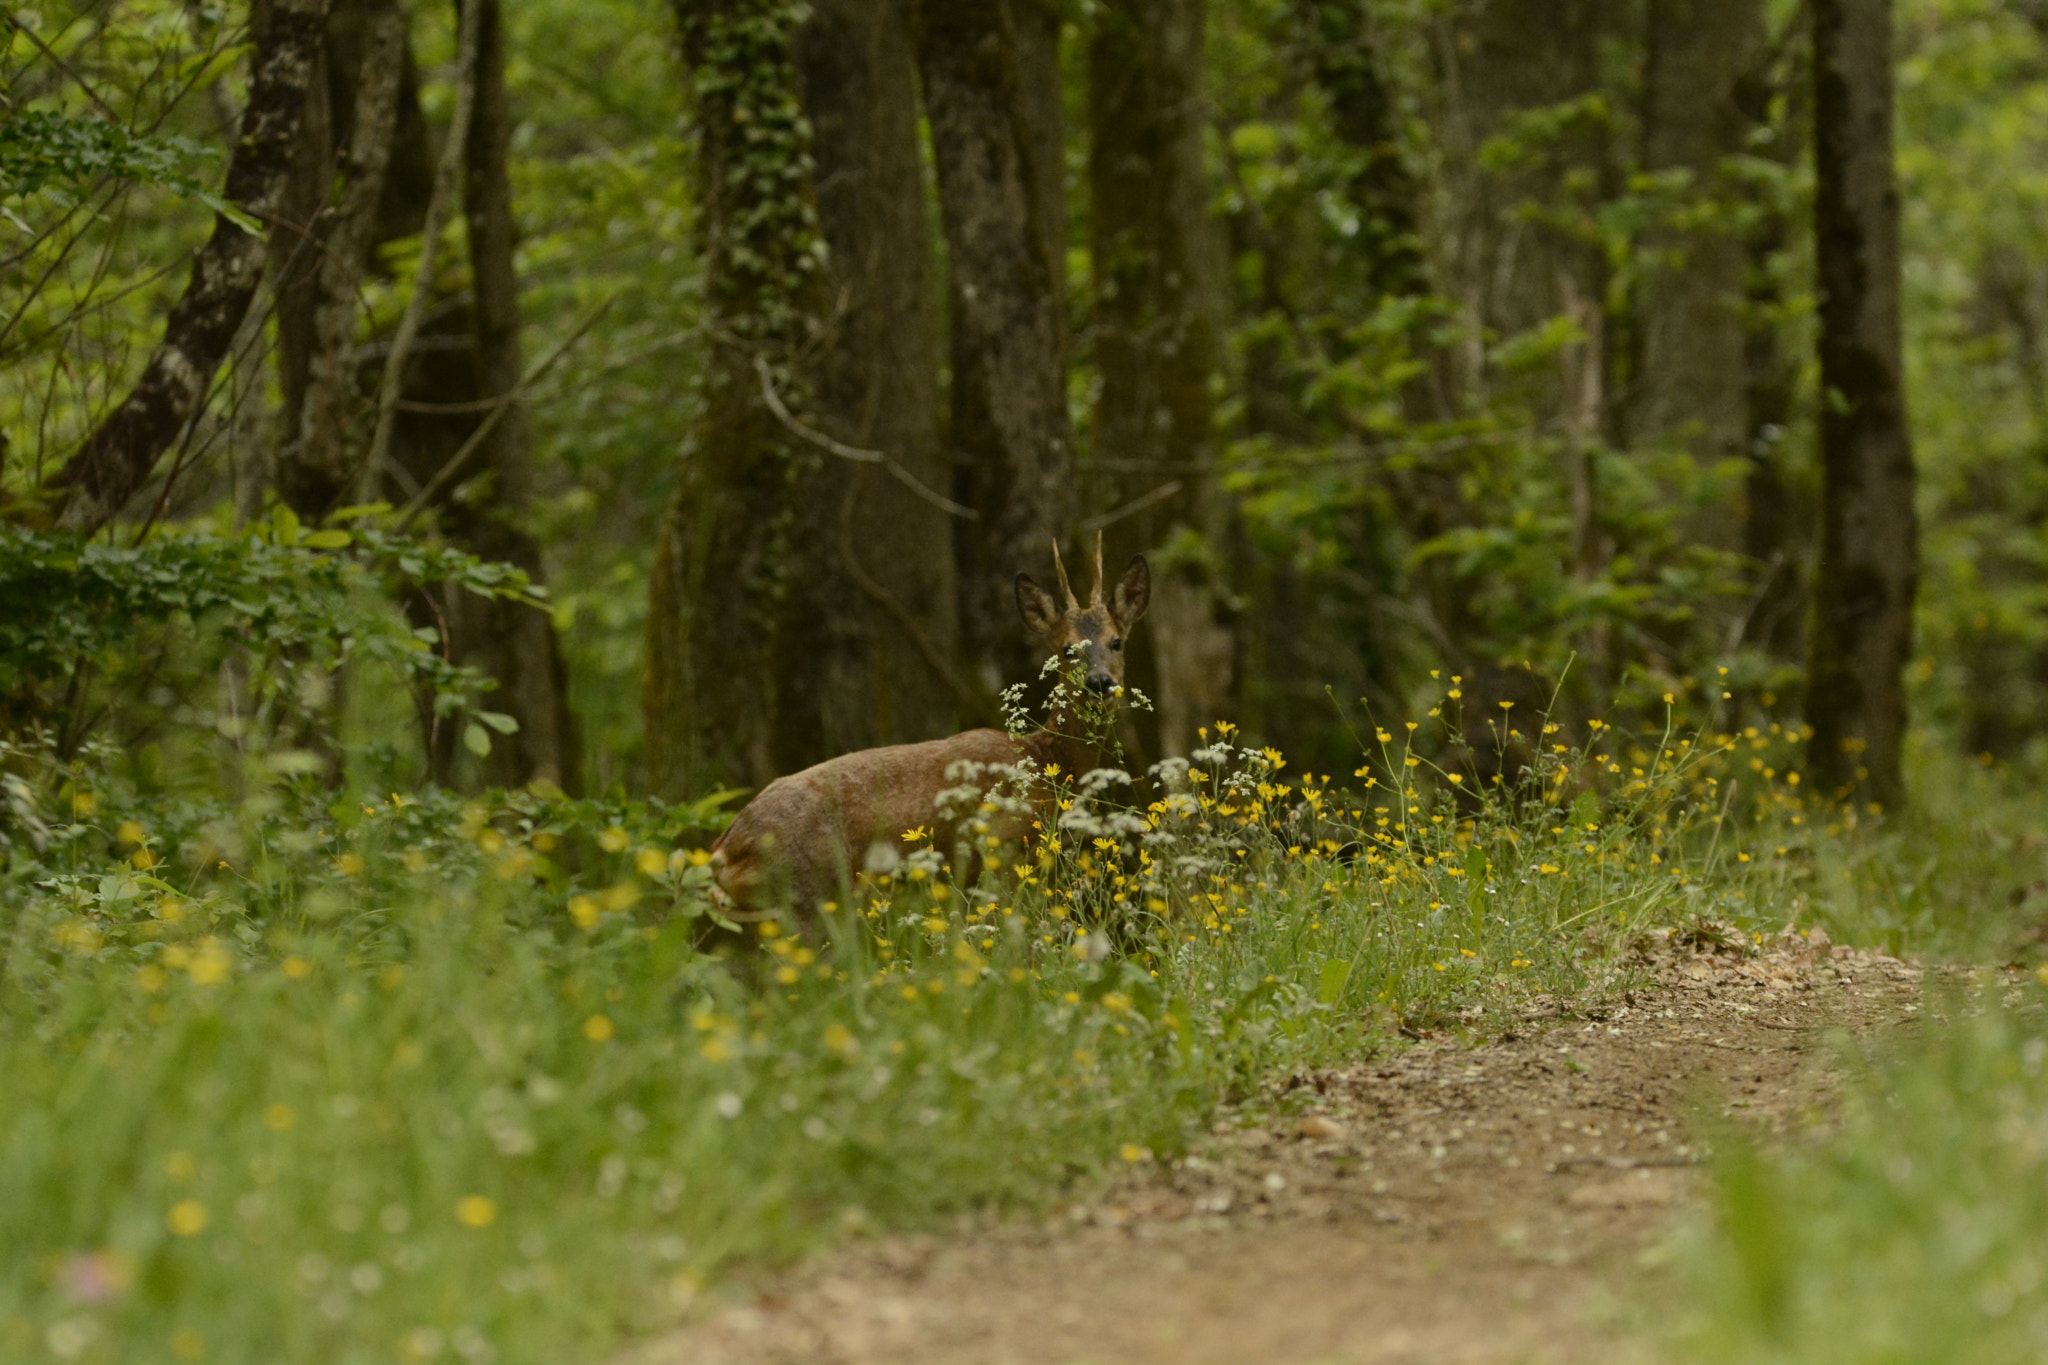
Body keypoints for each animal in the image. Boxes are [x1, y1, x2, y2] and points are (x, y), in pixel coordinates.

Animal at [708, 540, 1155, 933]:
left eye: (1116, 641)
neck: (1045, 760)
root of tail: (727, 847)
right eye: (1067, 649)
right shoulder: (1002, 850)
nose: (1100, 682)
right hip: (805, 893)